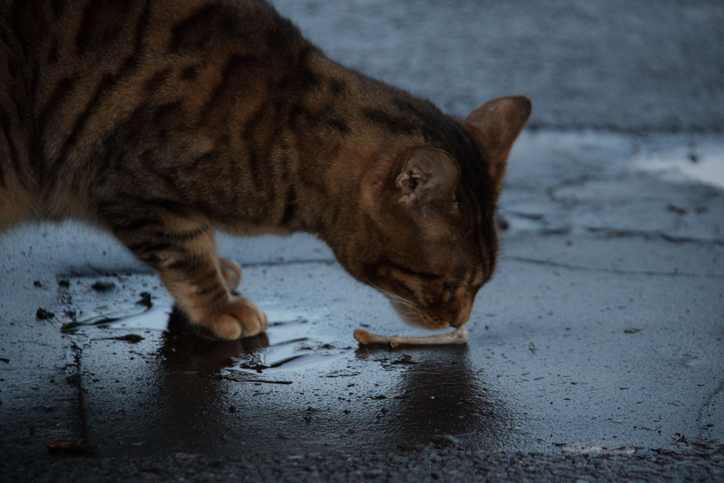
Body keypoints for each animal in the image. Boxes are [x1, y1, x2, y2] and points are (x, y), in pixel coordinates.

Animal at [0, 0, 532, 340]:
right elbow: (186, 251)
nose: (459, 321)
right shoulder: (134, 187)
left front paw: (223, 269)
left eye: (481, 285)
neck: (285, 128)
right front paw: (219, 306)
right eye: (446, 284)